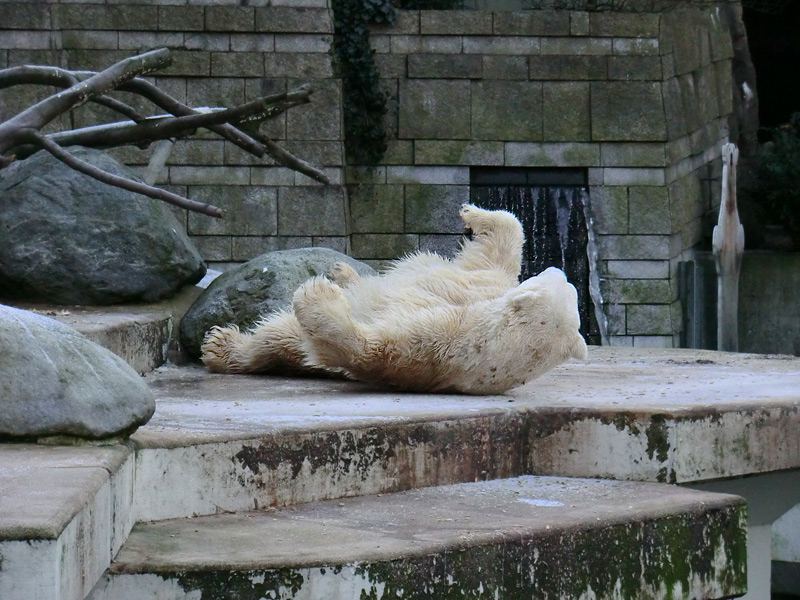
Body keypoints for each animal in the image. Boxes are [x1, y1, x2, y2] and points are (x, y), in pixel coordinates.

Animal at [200, 204, 588, 396]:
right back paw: (343, 271)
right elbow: (498, 249)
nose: (559, 266)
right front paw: (471, 212)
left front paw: (319, 295)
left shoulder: (435, 343)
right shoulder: (479, 285)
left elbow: (367, 348)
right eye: (567, 282)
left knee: (283, 335)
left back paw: (220, 346)